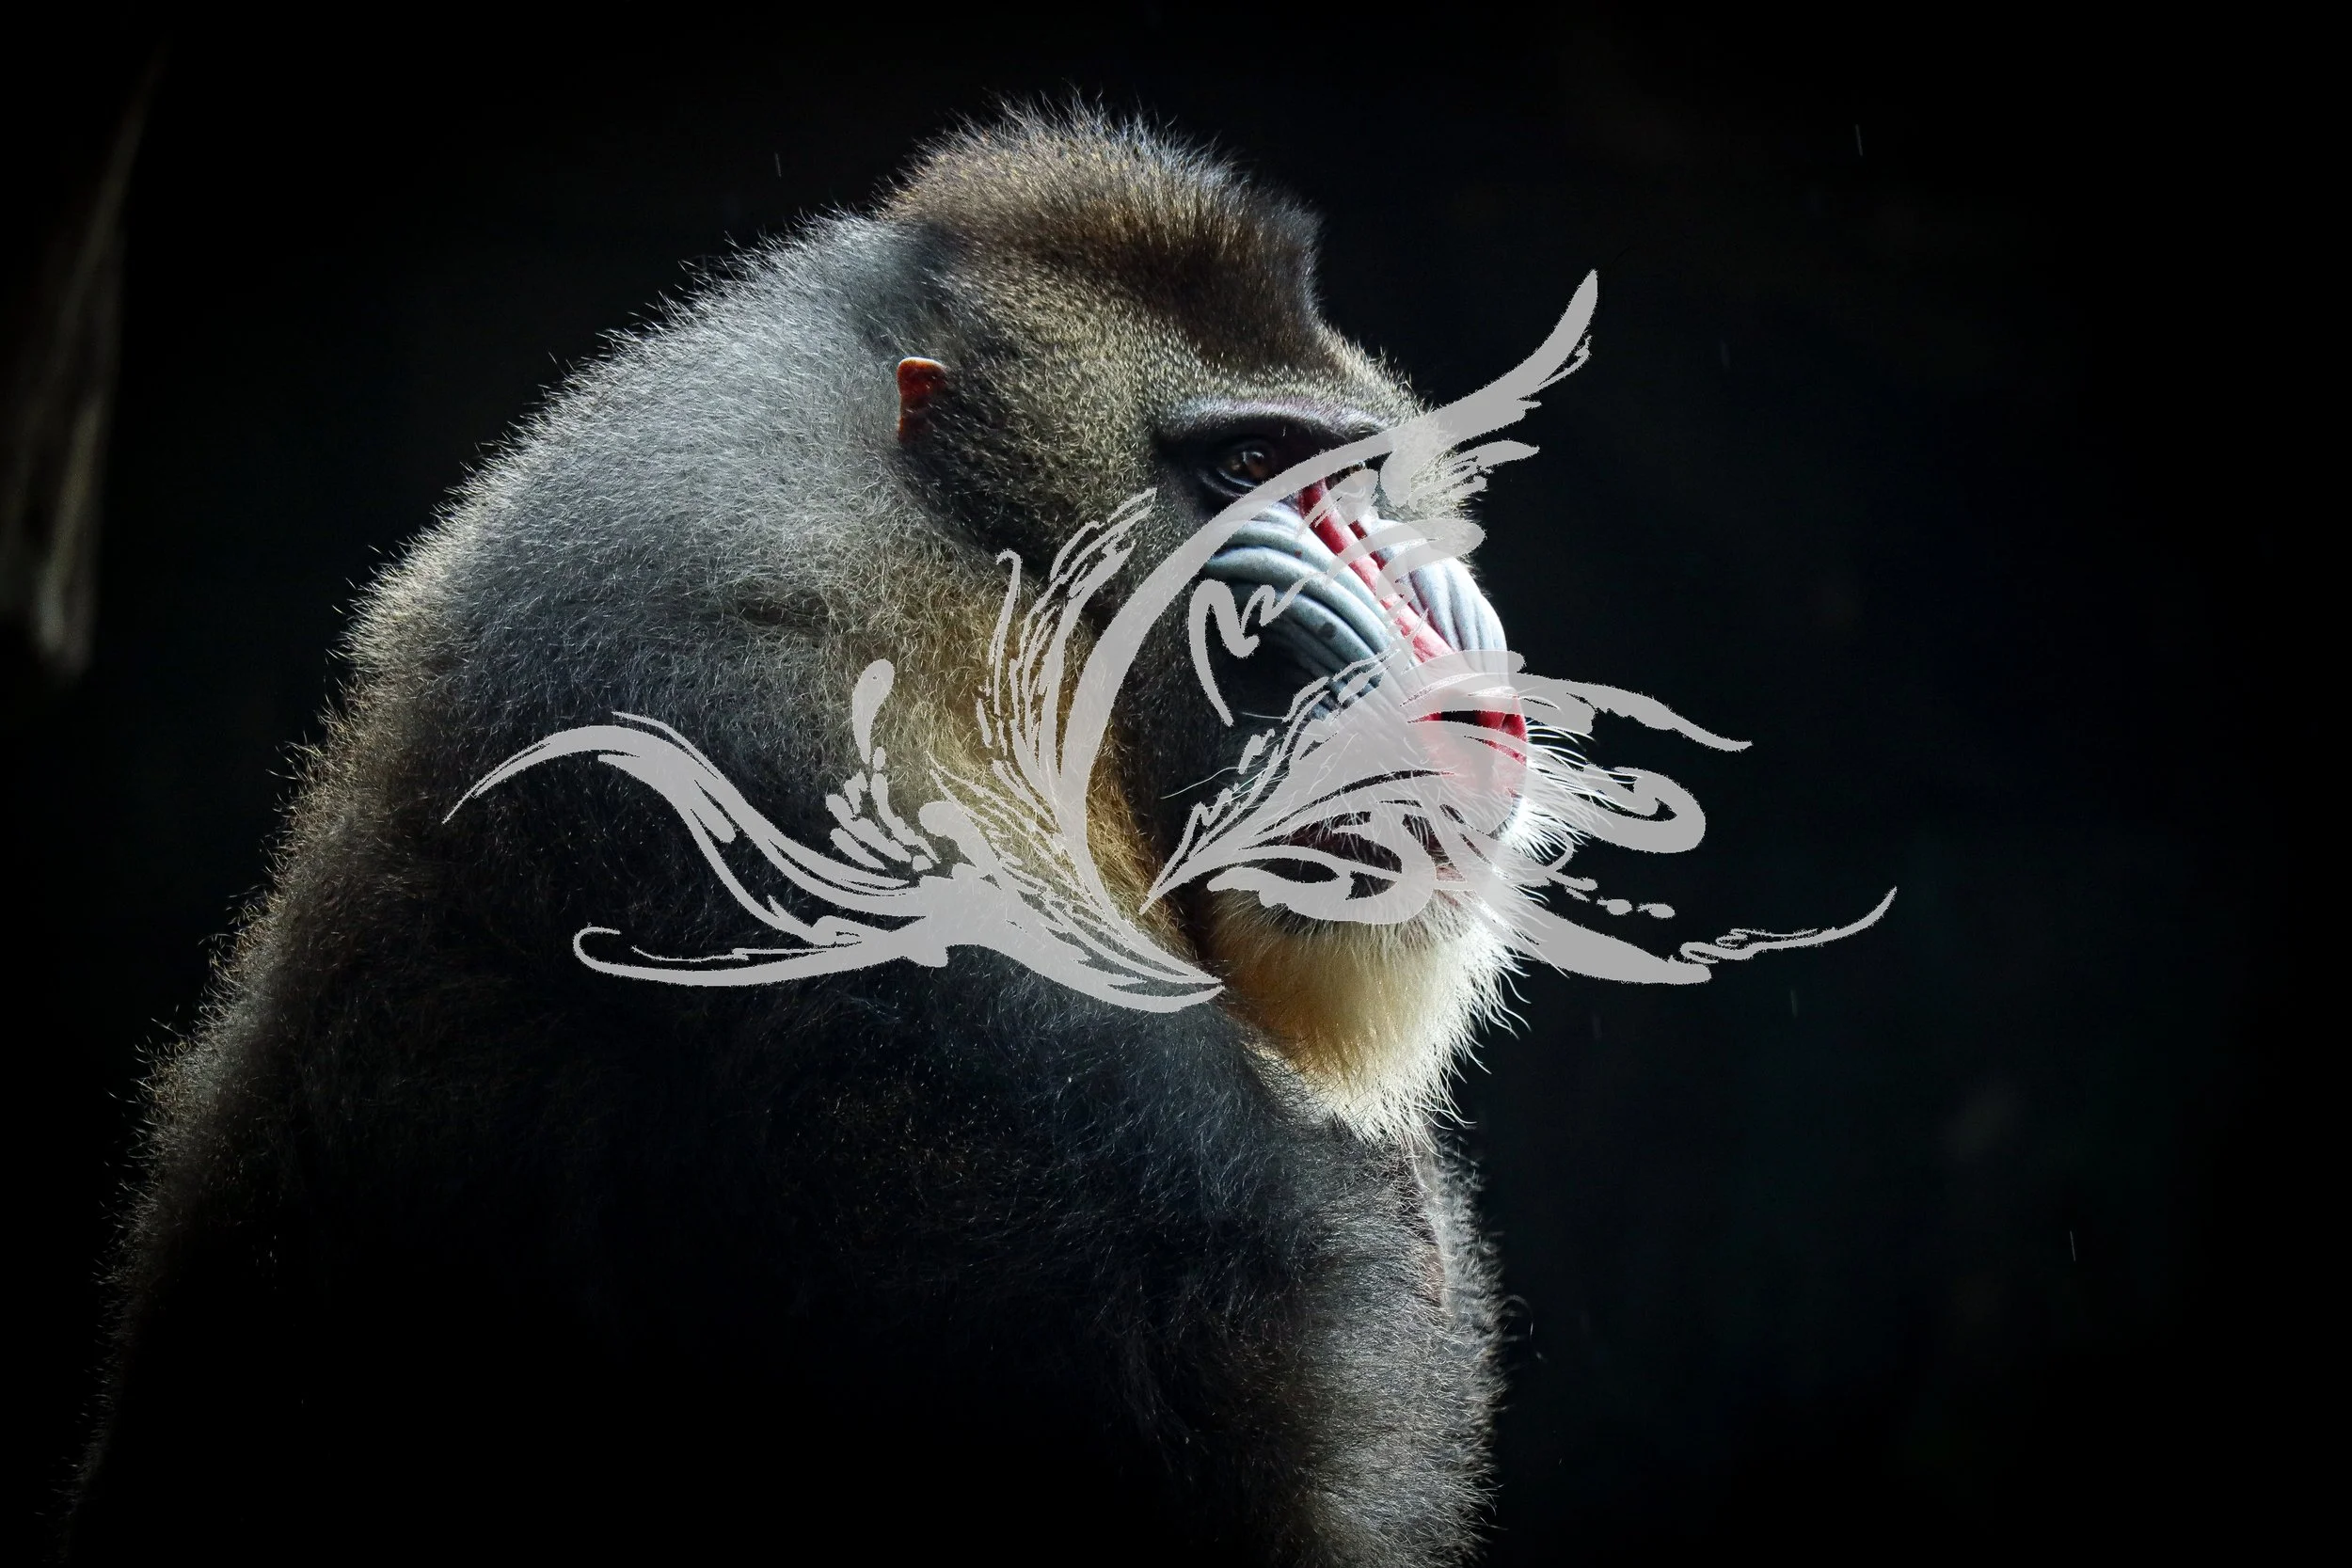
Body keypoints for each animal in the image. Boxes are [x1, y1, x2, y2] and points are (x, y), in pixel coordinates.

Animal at [65, 111, 1535, 1564]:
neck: (970, 554)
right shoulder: (789, 747)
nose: (1424, 627)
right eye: (1248, 469)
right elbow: (1264, 1358)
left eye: (1354, 476)